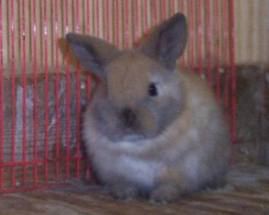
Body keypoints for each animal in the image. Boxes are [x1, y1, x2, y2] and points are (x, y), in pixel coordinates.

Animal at [65, 13, 230, 203]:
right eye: (106, 91)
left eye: (153, 89)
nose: (127, 119)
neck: (139, 147)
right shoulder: (117, 173)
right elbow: (124, 184)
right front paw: (123, 194)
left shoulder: (180, 172)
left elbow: (171, 185)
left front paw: (161, 197)